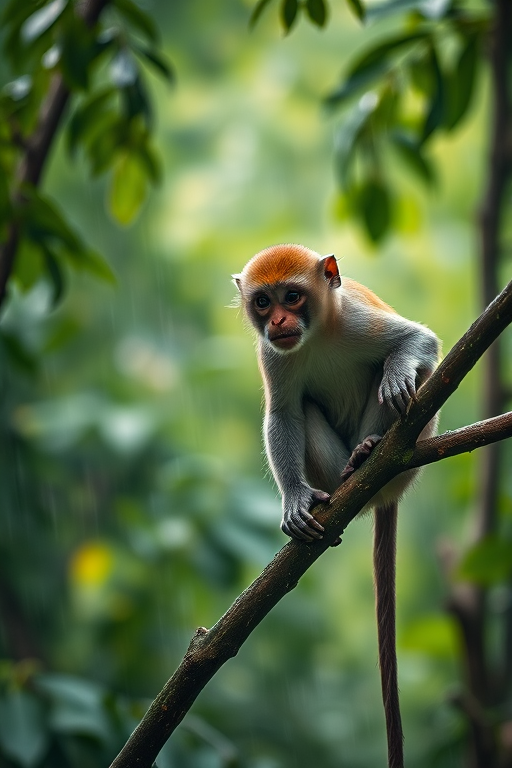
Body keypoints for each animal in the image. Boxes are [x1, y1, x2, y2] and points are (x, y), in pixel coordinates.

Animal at [233, 243, 440, 768]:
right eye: (262, 302)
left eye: (292, 296)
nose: (279, 320)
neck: (318, 335)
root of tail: (390, 489)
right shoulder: (272, 355)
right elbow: (284, 414)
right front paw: (294, 500)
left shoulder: (359, 319)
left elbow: (421, 343)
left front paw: (399, 371)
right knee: (303, 413)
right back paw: (347, 480)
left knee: (405, 380)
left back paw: (371, 448)